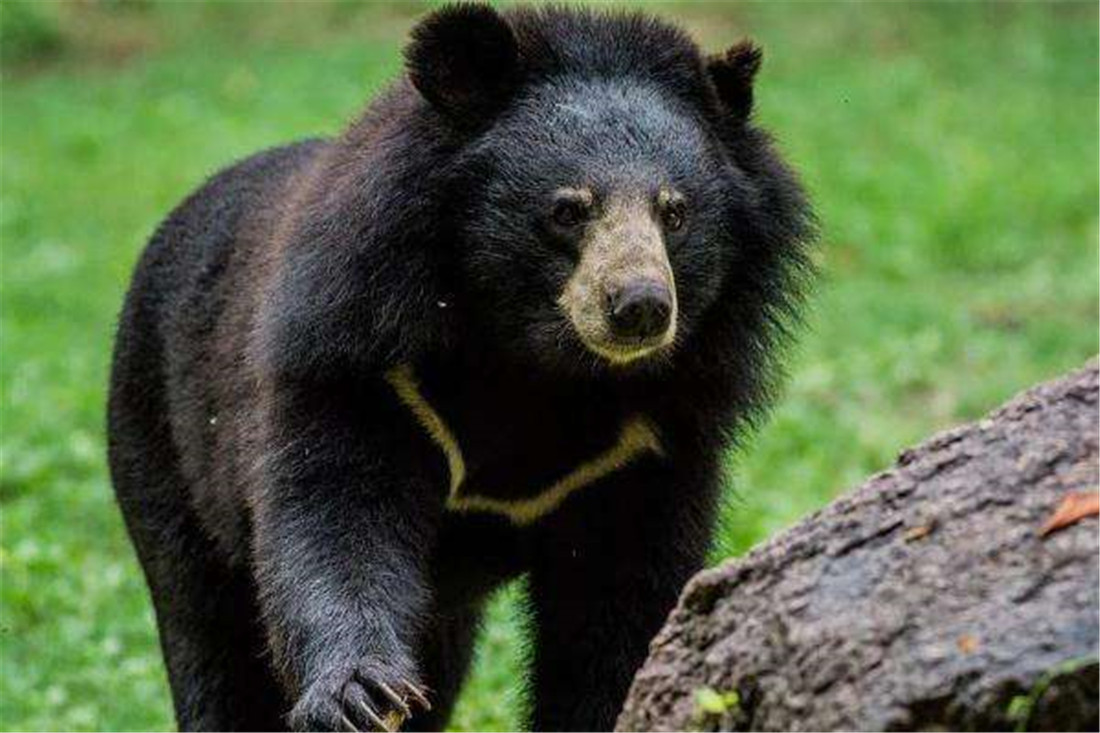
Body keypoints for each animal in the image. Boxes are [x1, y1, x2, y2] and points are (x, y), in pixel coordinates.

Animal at [107, 2, 814, 726]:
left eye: (675, 212)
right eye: (567, 209)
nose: (640, 306)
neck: (537, 363)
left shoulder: (647, 442)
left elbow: (620, 600)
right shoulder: (361, 369)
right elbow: (333, 523)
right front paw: (360, 692)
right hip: (161, 441)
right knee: (208, 630)